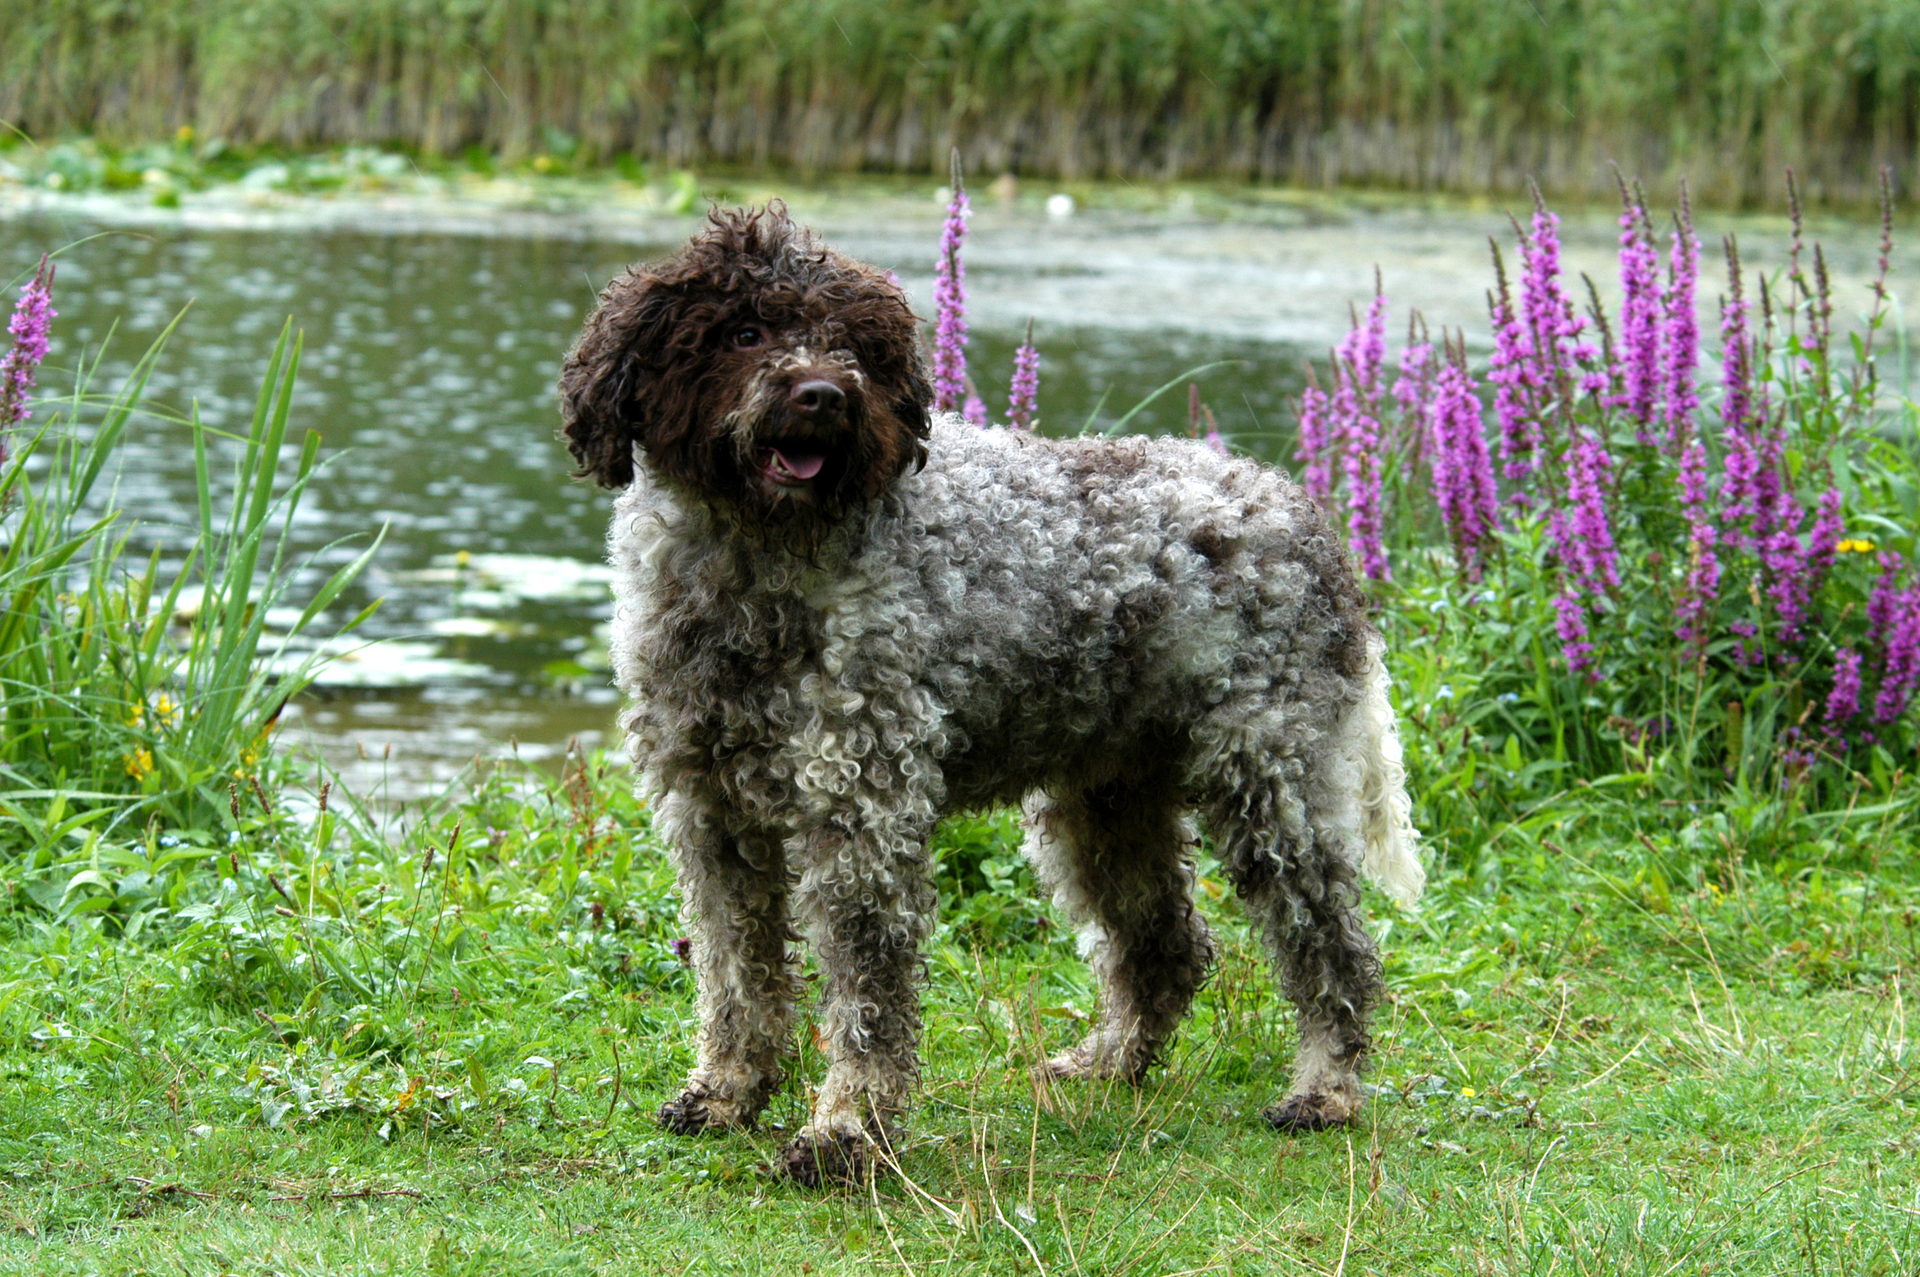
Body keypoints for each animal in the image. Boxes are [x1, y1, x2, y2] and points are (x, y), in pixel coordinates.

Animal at [560, 201, 1428, 1182]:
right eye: (744, 331)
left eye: (852, 345)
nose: (823, 394)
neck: (756, 562)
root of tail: (1305, 517)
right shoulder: (712, 815)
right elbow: (737, 972)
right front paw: (729, 1091)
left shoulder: (862, 810)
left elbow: (865, 988)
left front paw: (847, 1129)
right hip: (1109, 798)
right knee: (1166, 944)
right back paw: (1110, 1060)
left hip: (1273, 782)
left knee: (1332, 949)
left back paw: (1326, 1087)